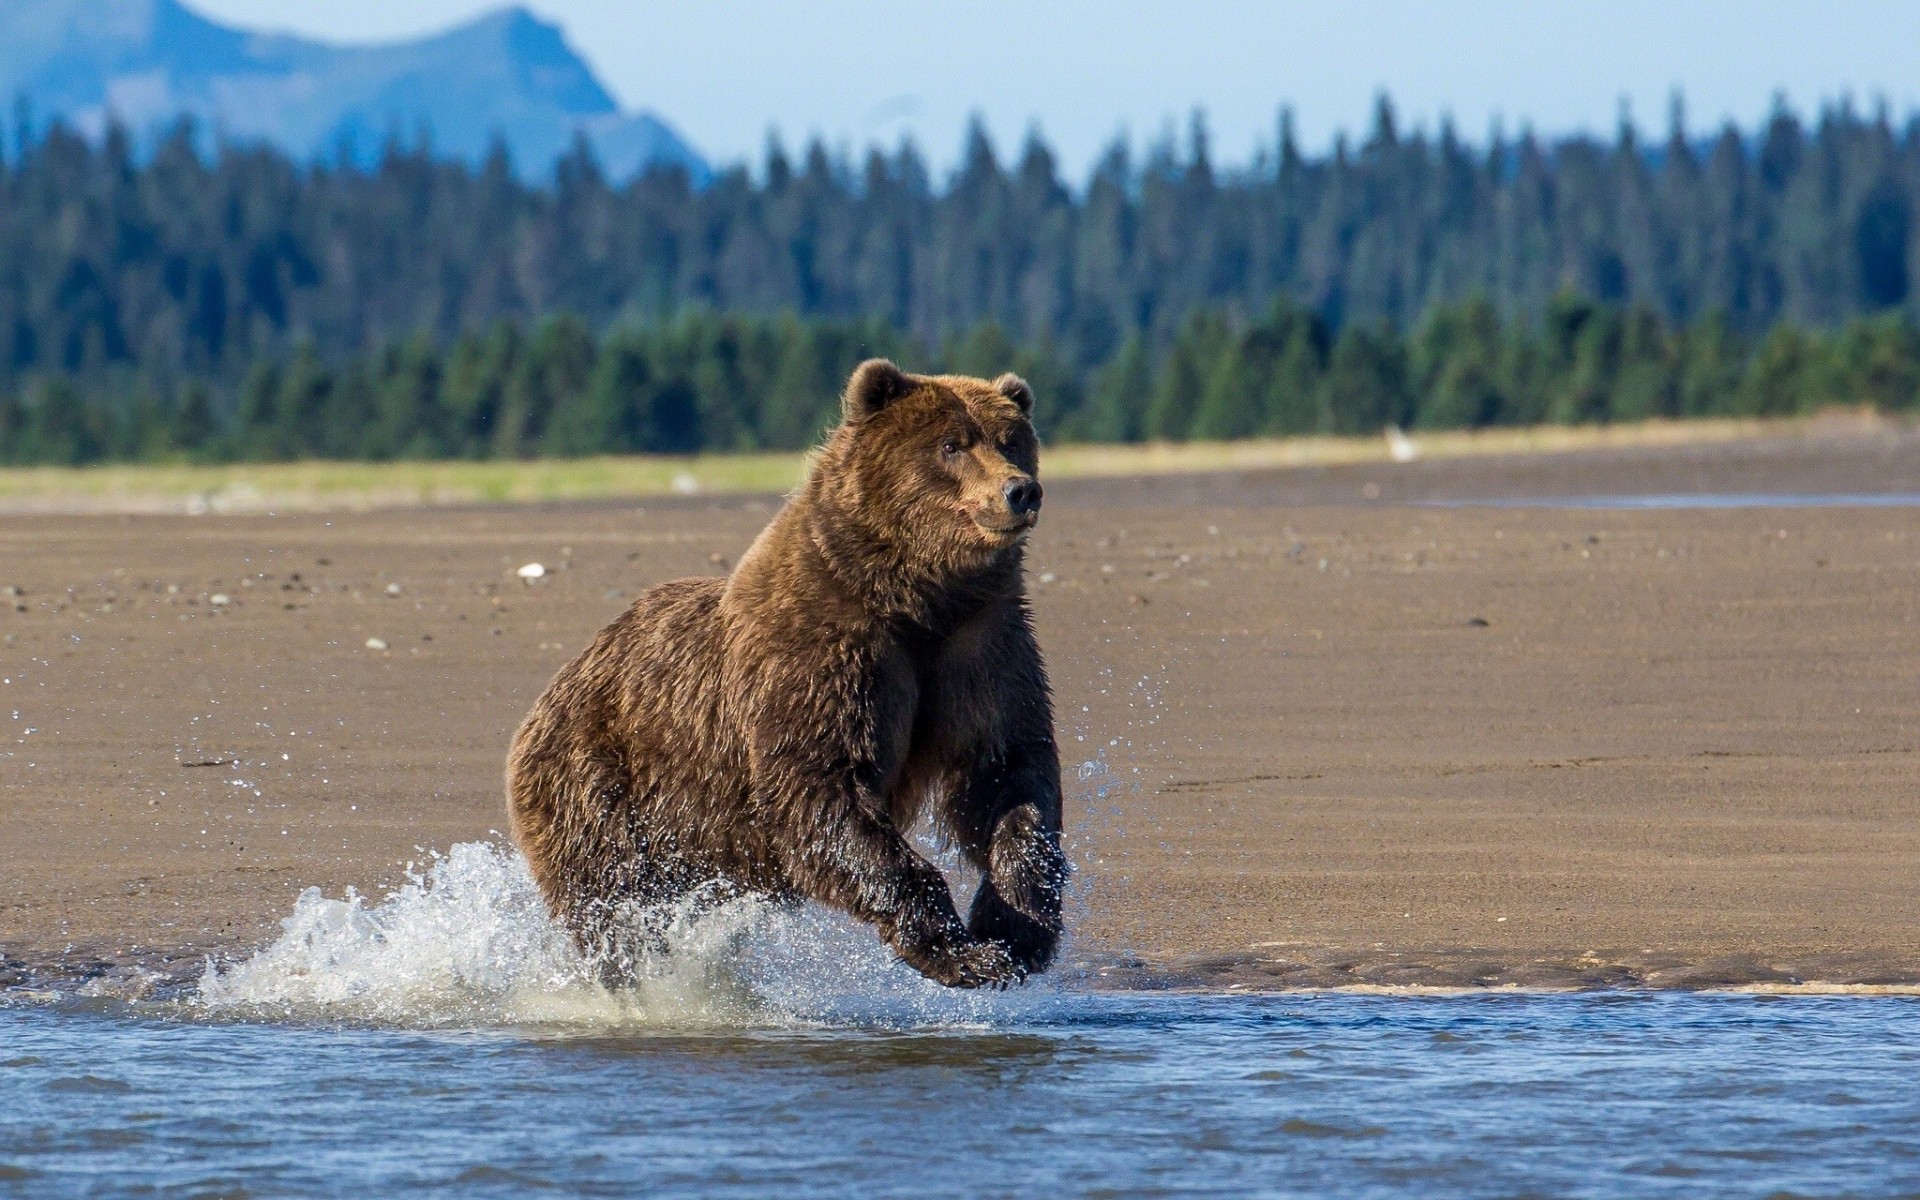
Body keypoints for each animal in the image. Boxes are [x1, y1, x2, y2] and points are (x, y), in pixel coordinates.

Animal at [505, 360, 1066, 988]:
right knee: (614, 903)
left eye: (1012, 441)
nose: (1020, 490)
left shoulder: (981, 646)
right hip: (599, 786)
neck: (915, 600)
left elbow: (1006, 773)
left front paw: (1014, 932)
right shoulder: (821, 654)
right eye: (952, 445)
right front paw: (962, 953)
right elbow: (820, 786)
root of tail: (551, 691)